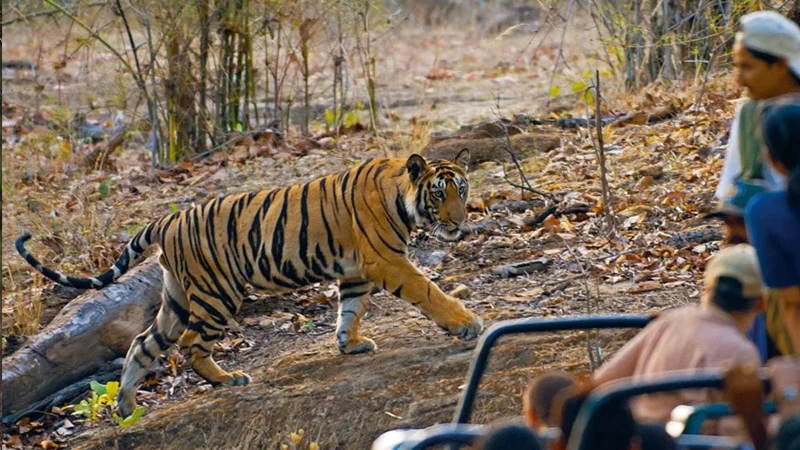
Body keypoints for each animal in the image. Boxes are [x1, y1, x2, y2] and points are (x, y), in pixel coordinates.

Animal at [15, 148, 484, 418]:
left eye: (461, 189)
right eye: (439, 194)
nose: (461, 222)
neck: (403, 197)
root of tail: (169, 219)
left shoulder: (353, 272)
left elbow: (350, 310)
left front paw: (350, 344)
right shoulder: (386, 260)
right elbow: (428, 291)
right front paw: (466, 324)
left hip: (176, 298)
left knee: (142, 344)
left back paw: (128, 407)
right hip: (216, 293)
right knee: (191, 344)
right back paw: (227, 379)